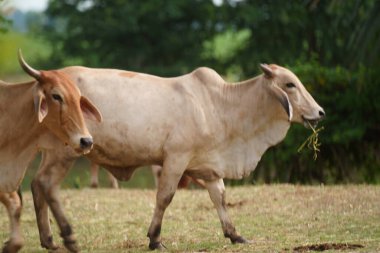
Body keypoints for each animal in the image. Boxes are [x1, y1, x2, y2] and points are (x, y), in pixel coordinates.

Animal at [31, 63, 326, 251]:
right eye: (290, 84)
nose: (320, 112)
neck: (220, 106)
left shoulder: (209, 167)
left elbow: (220, 198)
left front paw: (235, 234)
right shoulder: (175, 159)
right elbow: (165, 197)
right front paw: (154, 239)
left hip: (51, 153)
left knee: (35, 184)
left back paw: (47, 239)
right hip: (64, 152)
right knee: (45, 184)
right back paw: (59, 237)